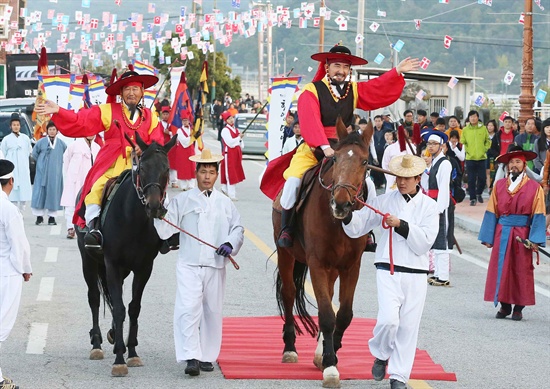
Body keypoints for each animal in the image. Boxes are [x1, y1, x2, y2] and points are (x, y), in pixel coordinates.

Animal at [76, 132, 177, 374]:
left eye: (166, 169)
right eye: (141, 168)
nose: (154, 206)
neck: (133, 220)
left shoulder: (144, 267)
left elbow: (132, 308)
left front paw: (131, 352)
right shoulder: (112, 264)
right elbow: (119, 308)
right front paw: (120, 359)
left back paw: (114, 336)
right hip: (89, 262)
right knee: (95, 298)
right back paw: (97, 344)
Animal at [274, 119, 374, 386]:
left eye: (364, 162)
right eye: (336, 158)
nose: (340, 203)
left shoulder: (351, 266)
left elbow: (344, 314)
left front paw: (331, 353)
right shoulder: (317, 263)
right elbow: (328, 314)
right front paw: (330, 365)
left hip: (333, 268)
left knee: (327, 295)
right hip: (285, 253)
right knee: (289, 294)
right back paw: (290, 348)